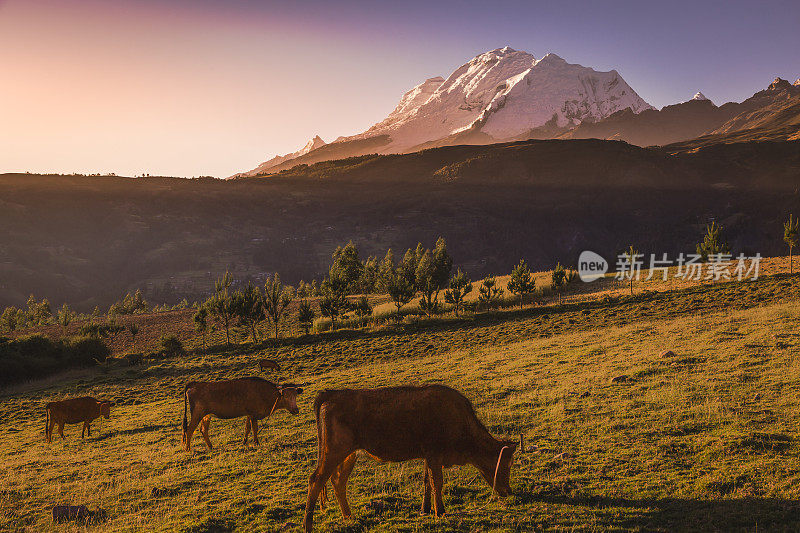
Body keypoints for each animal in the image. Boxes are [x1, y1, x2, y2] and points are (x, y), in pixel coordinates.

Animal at [304, 384, 520, 528]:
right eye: (505, 465)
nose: (508, 491)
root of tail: (332, 393)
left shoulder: (428, 456)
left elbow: (426, 482)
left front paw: (425, 509)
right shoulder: (434, 453)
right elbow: (437, 482)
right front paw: (440, 512)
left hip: (348, 454)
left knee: (338, 481)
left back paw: (348, 517)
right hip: (334, 451)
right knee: (316, 480)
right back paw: (308, 525)